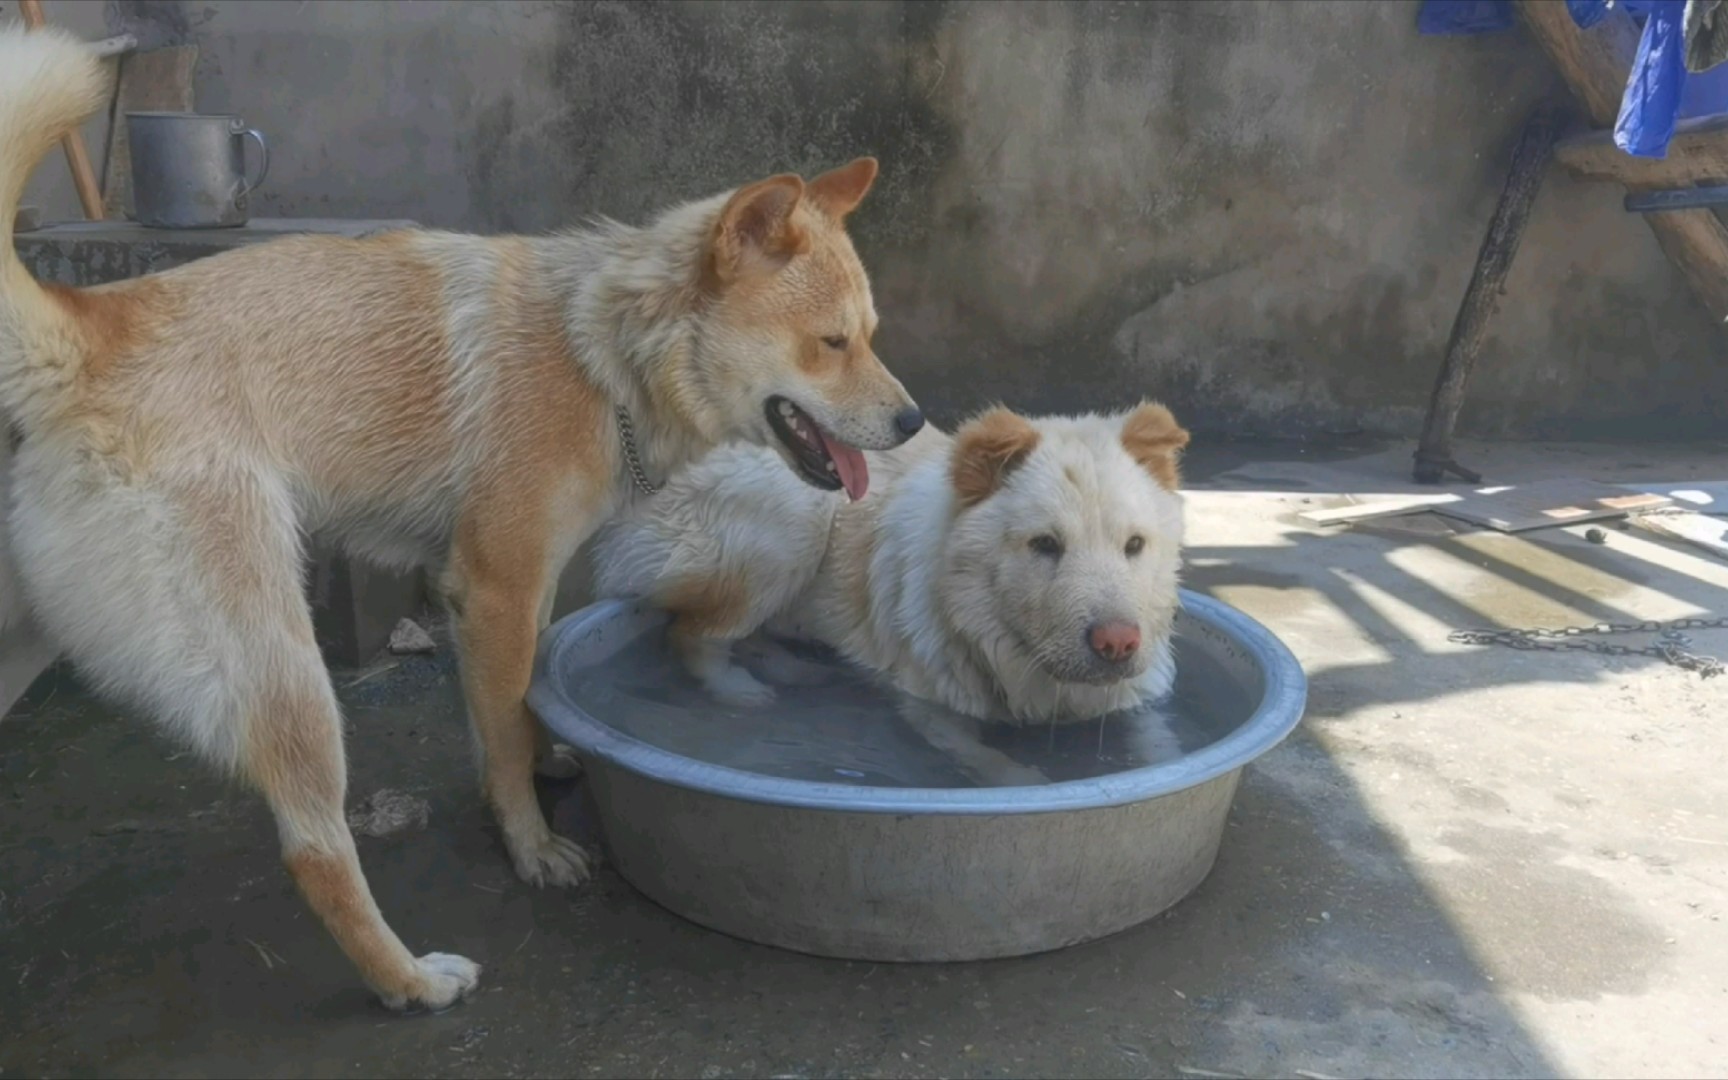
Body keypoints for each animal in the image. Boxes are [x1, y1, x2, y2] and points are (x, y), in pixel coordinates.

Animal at [0, 31, 926, 1009]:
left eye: (868, 334)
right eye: (831, 344)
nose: (913, 422)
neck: (601, 352)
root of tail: (91, 327)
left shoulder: (503, 590)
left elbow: (509, 709)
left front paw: (539, 762)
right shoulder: (498, 587)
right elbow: (506, 727)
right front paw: (532, 845)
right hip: (288, 680)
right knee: (316, 853)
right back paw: (409, 979)